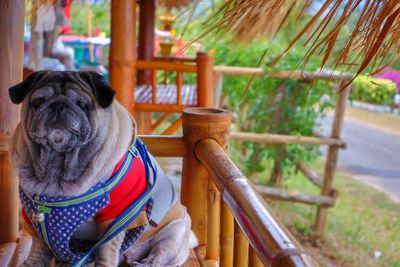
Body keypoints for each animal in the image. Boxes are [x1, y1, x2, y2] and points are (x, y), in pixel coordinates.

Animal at [9, 71, 194, 267]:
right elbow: (39, 244)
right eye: (39, 101)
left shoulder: (116, 216)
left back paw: (143, 263)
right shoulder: (33, 215)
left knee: (160, 254)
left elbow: (107, 249)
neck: (57, 166)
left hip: (174, 232)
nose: (58, 105)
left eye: (82, 104)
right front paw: (33, 262)